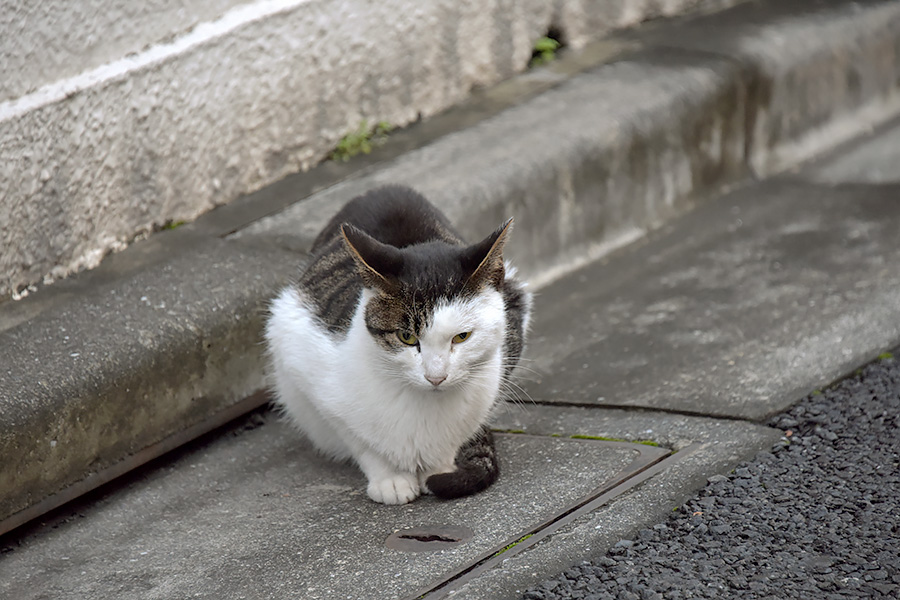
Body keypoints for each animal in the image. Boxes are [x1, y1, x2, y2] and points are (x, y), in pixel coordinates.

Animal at [268, 185, 536, 504]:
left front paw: (438, 469)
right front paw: (391, 479)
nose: (436, 377)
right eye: (406, 337)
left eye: (462, 337)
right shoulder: (302, 356)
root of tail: (382, 189)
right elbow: (360, 441)